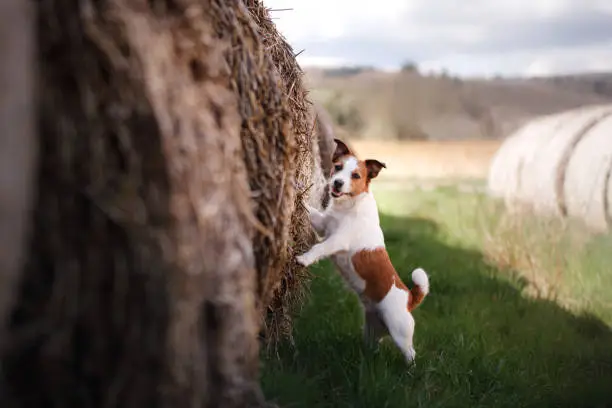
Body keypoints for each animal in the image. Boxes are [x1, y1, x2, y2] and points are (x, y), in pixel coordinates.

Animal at [296, 138, 430, 364]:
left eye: (356, 175)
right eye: (338, 167)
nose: (337, 183)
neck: (349, 206)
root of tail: (409, 298)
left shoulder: (337, 240)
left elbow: (319, 247)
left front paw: (304, 259)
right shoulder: (323, 225)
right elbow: (310, 211)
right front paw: (297, 194)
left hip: (399, 332)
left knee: (410, 353)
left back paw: (409, 369)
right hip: (372, 330)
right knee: (373, 346)